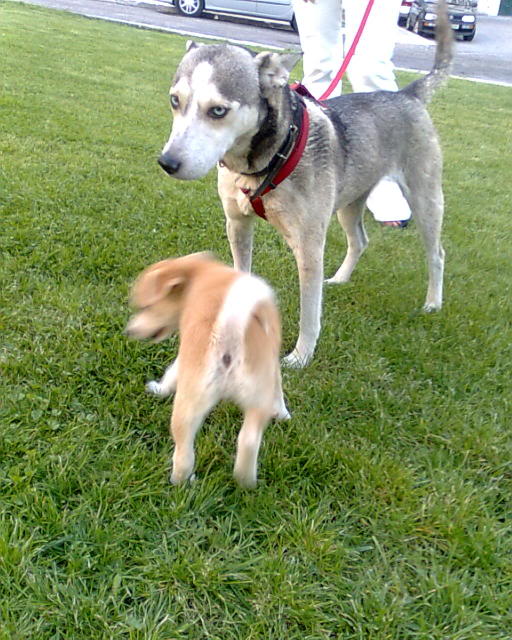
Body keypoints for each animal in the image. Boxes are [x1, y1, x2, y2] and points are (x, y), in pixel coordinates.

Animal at [126, 252, 290, 488]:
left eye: (146, 307)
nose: (128, 331)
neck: (202, 274)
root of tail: (230, 328)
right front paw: (283, 413)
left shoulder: (185, 356)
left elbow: (172, 372)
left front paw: (158, 389)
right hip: (252, 398)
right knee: (248, 440)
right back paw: (245, 483)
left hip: (192, 400)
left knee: (184, 448)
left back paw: (182, 482)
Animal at [158, 2, 454, 368]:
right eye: (175, 100)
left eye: (218, 110)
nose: (168, 162)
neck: (264, 161)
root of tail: (406, 95)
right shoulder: (237, 225)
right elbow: (241, 274)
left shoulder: (309, 246)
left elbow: (309, 312)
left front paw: (301, 356)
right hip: (349, 202)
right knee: (360, 240)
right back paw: (341, 278)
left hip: (425, 198)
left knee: (436, 253)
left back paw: (433, 303)